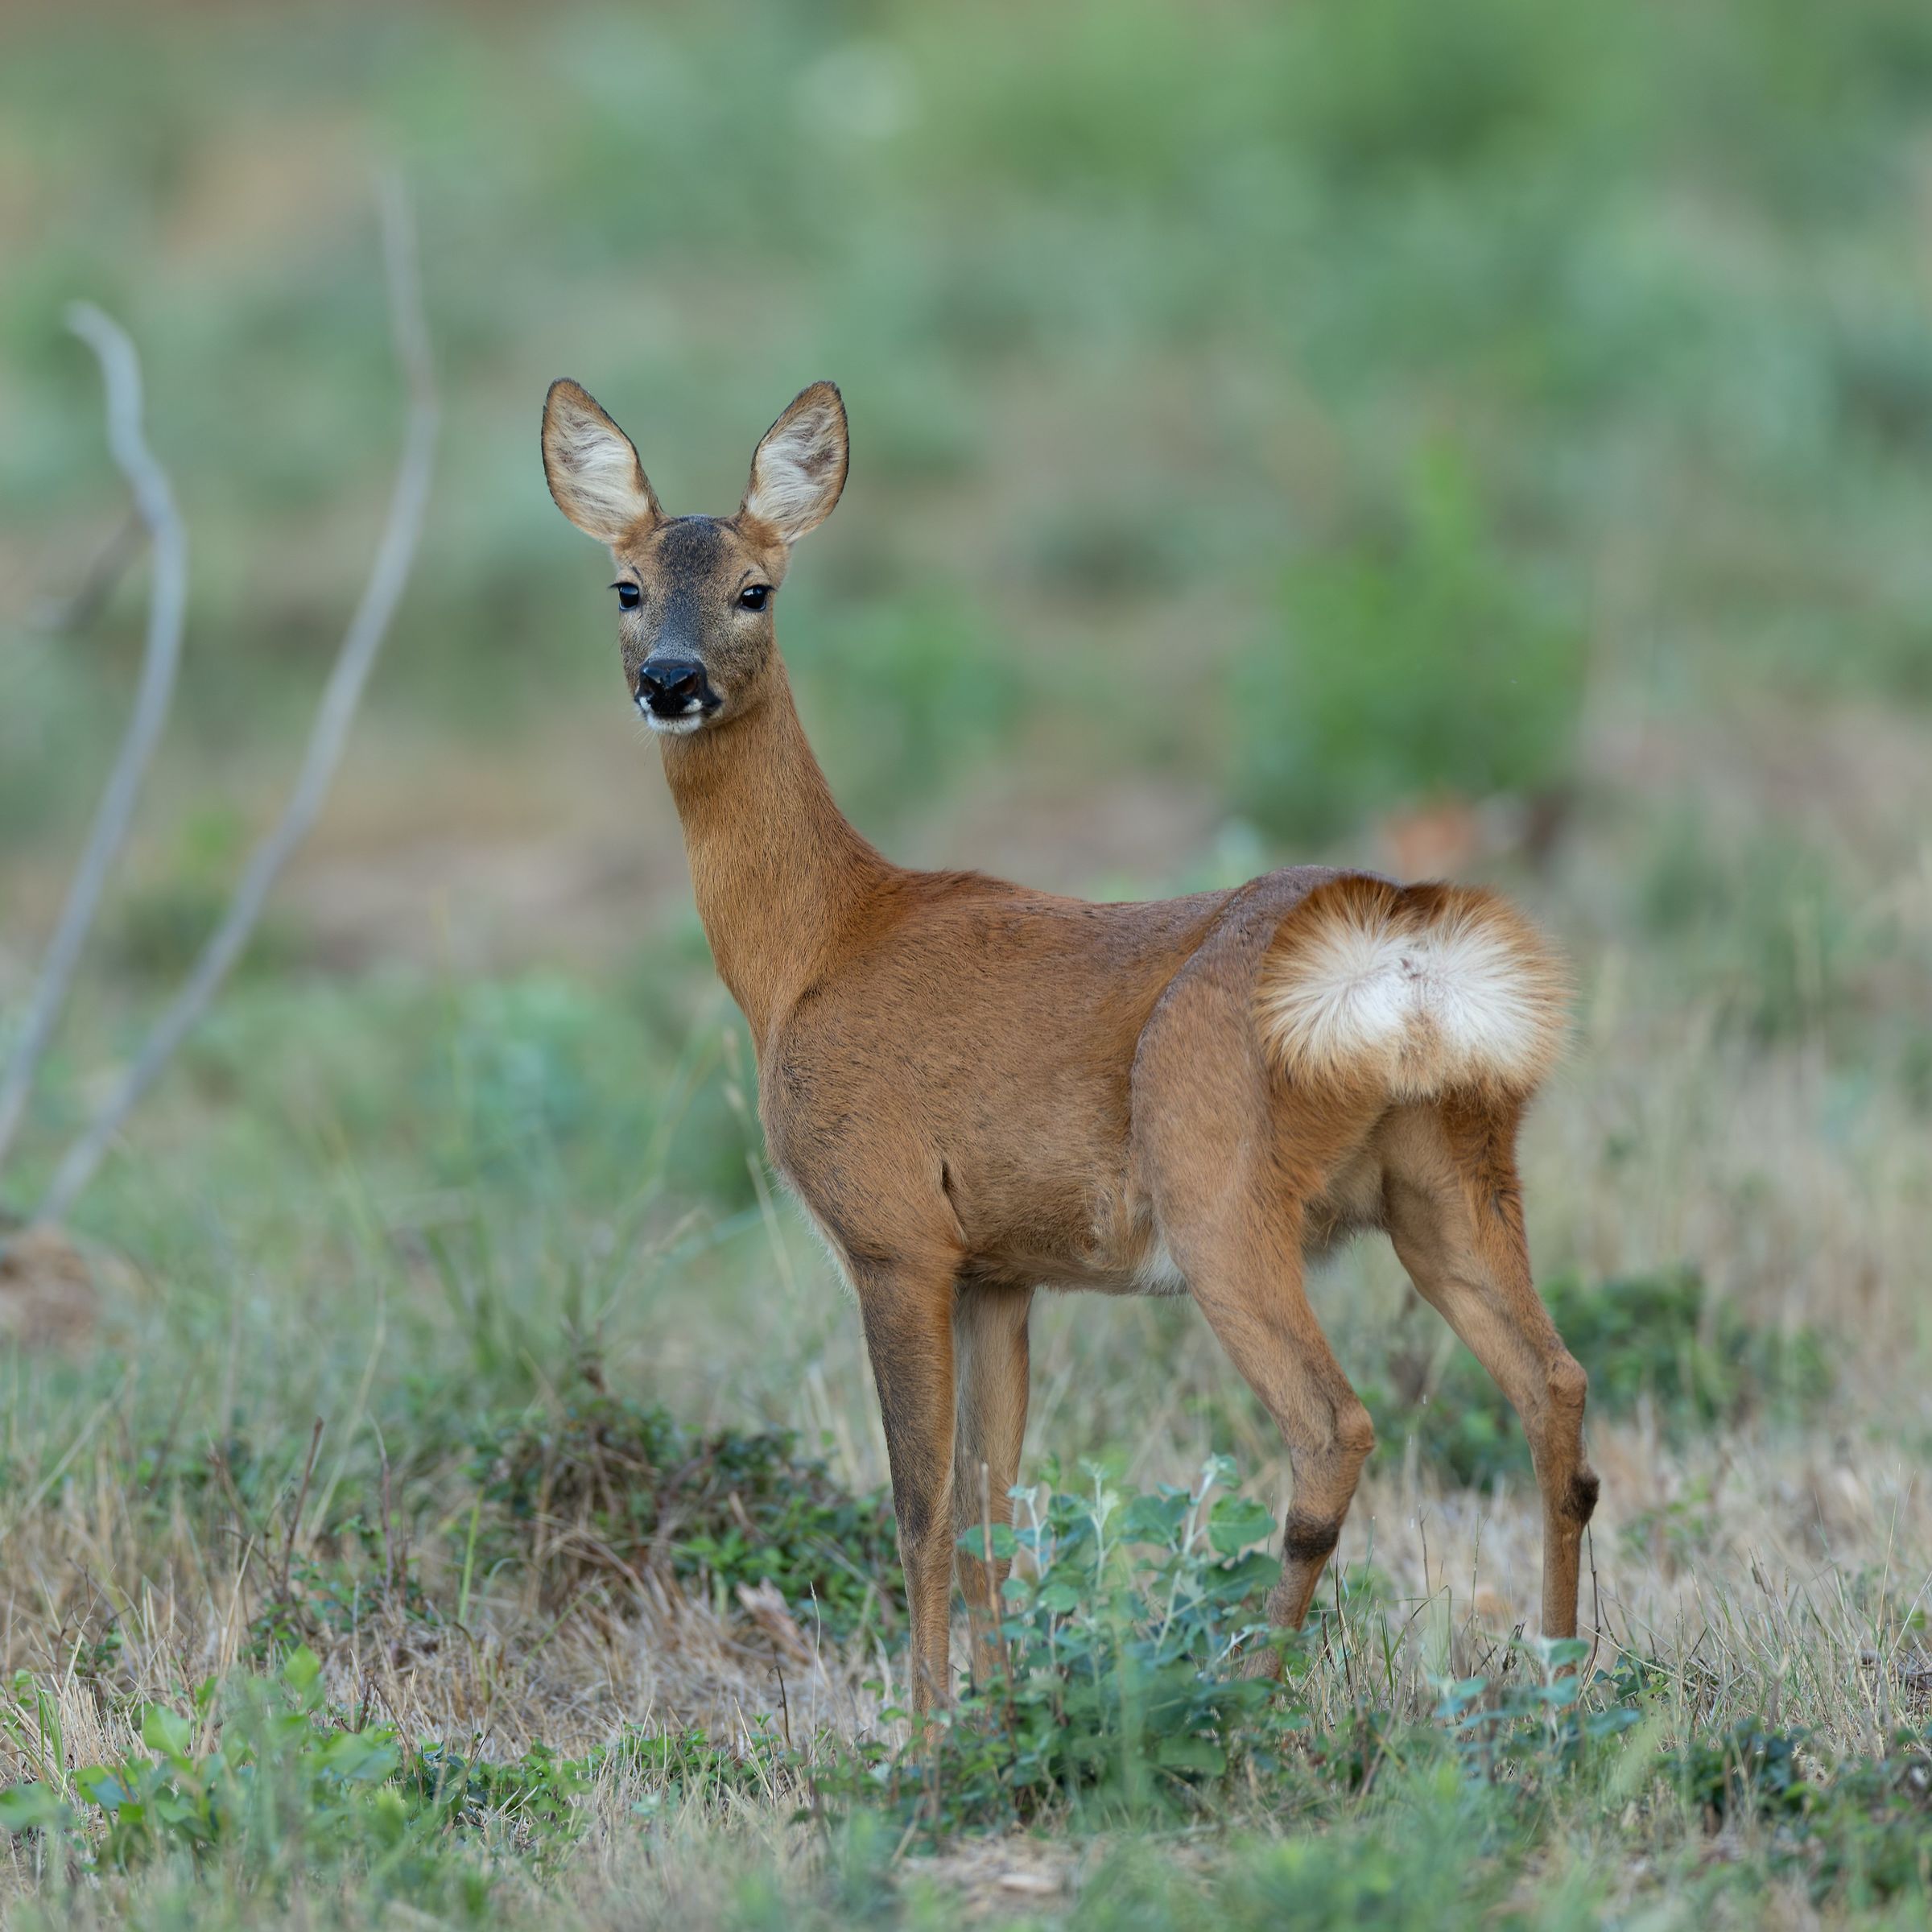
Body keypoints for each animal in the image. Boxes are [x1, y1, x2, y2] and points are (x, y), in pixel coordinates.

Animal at [539, 377, 1599, 1714]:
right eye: (626, 586)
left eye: (755, 589)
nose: (672, 681)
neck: (818, 945)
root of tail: (1403, 948)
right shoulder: (1000, 1270)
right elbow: (993, 1502)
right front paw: (996, 1710)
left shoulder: (892, 1233)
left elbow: (920, 1507)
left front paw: (925, 1727)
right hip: (1452, 1179)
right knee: (1555, 1393)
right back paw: (1560, 1682)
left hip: (1219, 1190)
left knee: (1334, 1428)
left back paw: (1244, 1696)